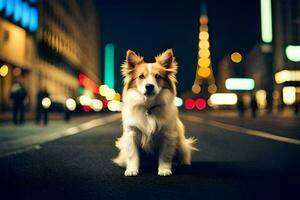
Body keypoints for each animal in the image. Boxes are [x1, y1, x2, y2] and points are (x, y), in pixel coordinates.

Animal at [112, 48, 197, 177]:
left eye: (158, 76)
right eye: (141, 76)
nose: (149, 86)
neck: (149, 107)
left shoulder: (168, 135)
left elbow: (165, 156)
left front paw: (164, 169)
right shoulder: (131, 134)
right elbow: (132, 155)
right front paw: (132, 169)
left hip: (182, 145)